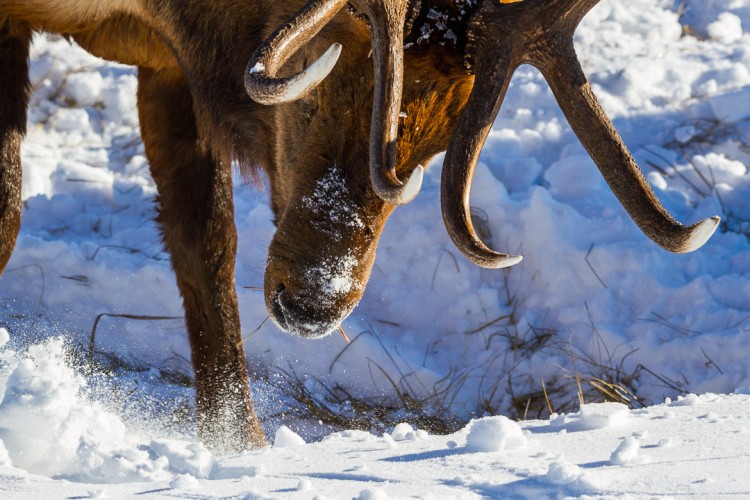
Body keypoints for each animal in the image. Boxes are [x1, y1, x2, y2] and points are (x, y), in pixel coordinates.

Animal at [0, 0, 720, 454]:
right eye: (310, 89)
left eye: (437, 145)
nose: (315, 302)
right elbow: (8, 213)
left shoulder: (172, 64)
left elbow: (205, 247)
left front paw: (238, 445)